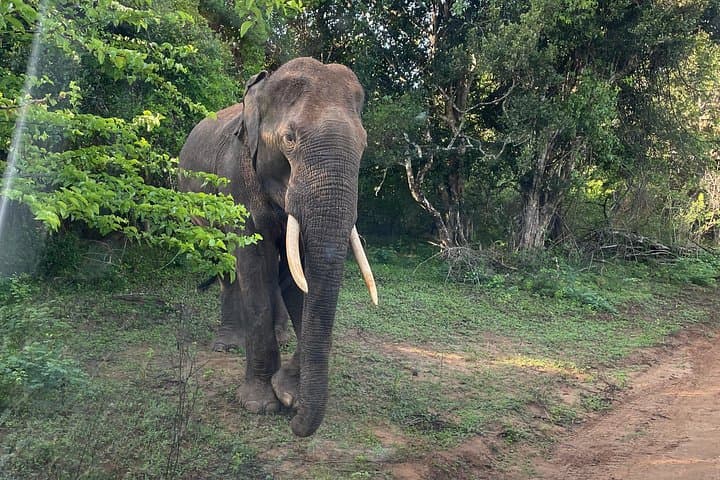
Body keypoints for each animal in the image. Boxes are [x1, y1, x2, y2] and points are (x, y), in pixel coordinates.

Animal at [178, 57, 377, 437]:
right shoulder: (235, 180)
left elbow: (299, 274)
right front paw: (261, 403)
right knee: (228, 267)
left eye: (363, 145)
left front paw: (289, 393)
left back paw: (282, 336)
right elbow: (255, 262)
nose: (297, 424)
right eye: (289, 138)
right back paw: (227, 344)